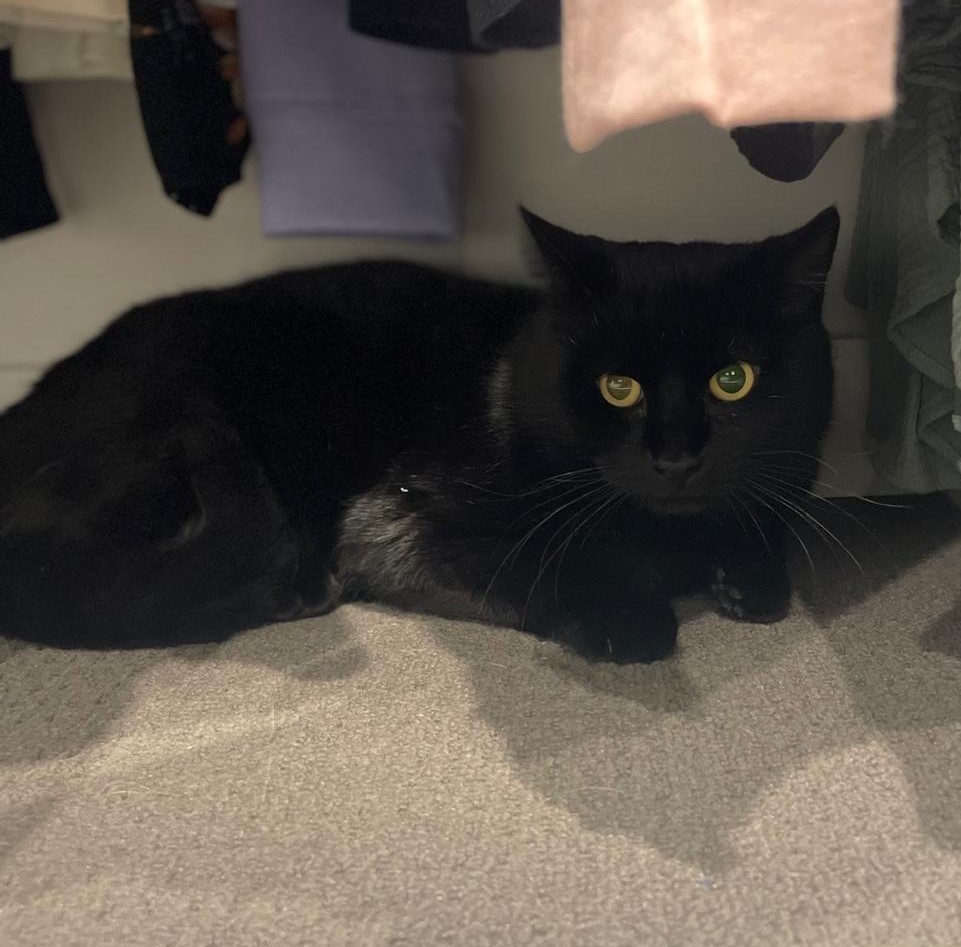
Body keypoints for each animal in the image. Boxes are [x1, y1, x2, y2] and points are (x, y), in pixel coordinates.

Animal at [0, 207, 839, 662]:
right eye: (617, 386)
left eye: (732, 379)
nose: (673, 457)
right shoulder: (397, 522)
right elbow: (549, 563)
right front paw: (628, 617)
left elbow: (761, 522)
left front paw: (750, 574)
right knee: (90, 591)